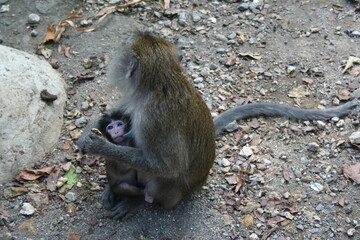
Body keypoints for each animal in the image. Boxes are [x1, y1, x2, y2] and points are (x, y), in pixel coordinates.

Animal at [76, 31, 358, 219]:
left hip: (174, 192)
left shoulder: (152, 117)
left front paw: (99, 146)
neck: (164, 80)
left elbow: (169, 166)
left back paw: (135, 200)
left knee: (158, 181)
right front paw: (87, 133)